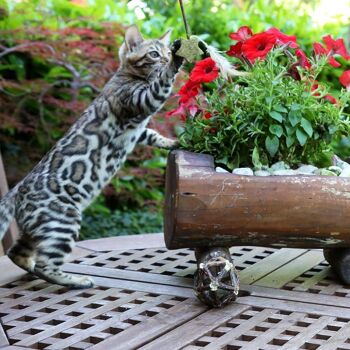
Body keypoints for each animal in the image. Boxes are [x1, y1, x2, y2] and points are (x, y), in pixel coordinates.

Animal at [0, 26, 185, 288]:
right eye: (154, 54)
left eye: (165, 51)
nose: (168, 56)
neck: (125, 75)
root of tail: (16, 191)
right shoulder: (140, 100)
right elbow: (161, 84)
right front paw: (176, 63)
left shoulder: (140, 129)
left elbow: (152, 134)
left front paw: (172, 142)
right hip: (62, 220)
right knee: (47, 263)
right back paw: (76, 280)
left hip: (37, 227)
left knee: (16, 253)